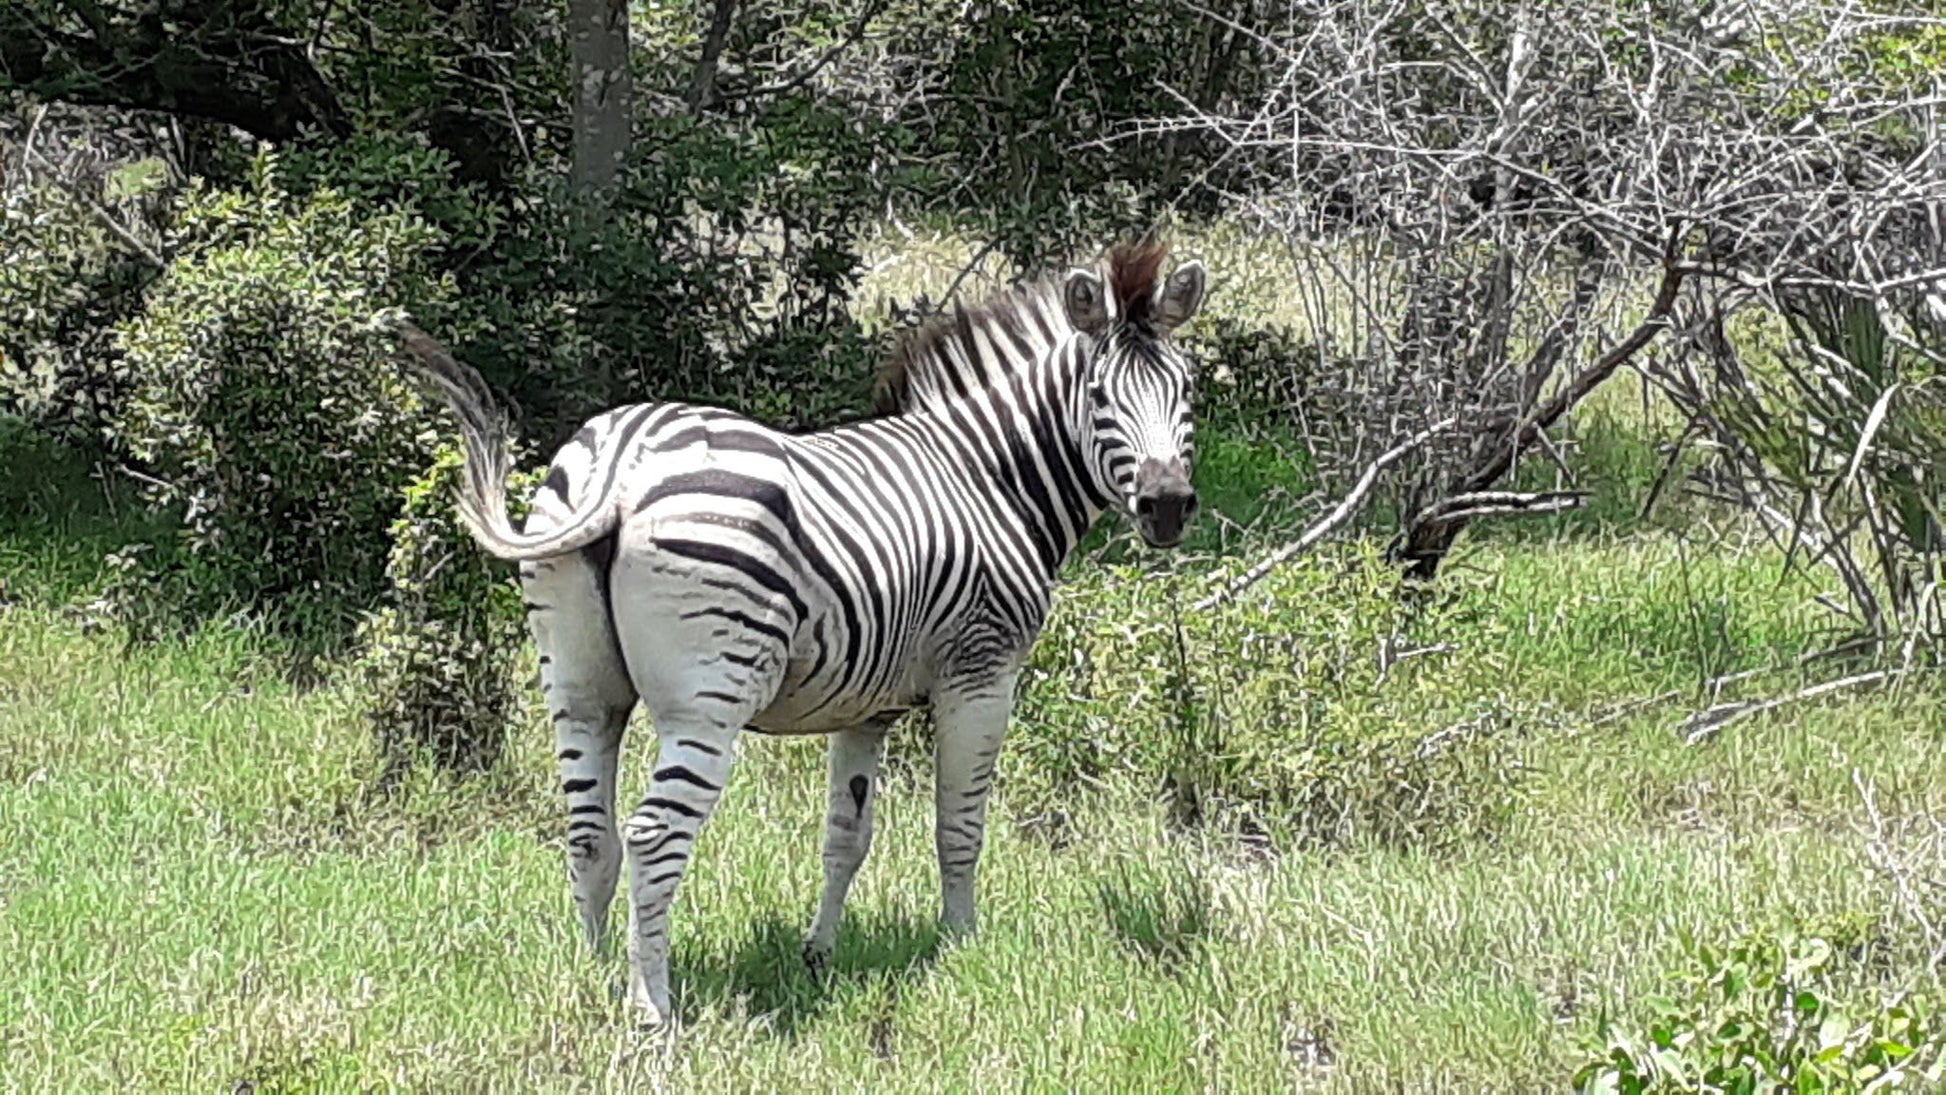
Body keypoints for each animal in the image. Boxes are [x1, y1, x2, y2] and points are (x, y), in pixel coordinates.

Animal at [400, 242, 1206, 1026]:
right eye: (1099, 397)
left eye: (1187, 393)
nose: (1166, 505)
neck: (989, 478)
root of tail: (621, 464)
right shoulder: (981, 672)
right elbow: (959, 827)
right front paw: (961, 947)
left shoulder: (867, 704)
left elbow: (846, 835)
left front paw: (818, 954)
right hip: (708, 699)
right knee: (653, 836)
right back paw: (651, 1008)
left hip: (578, 685)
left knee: (589, 831)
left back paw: (597, 974)